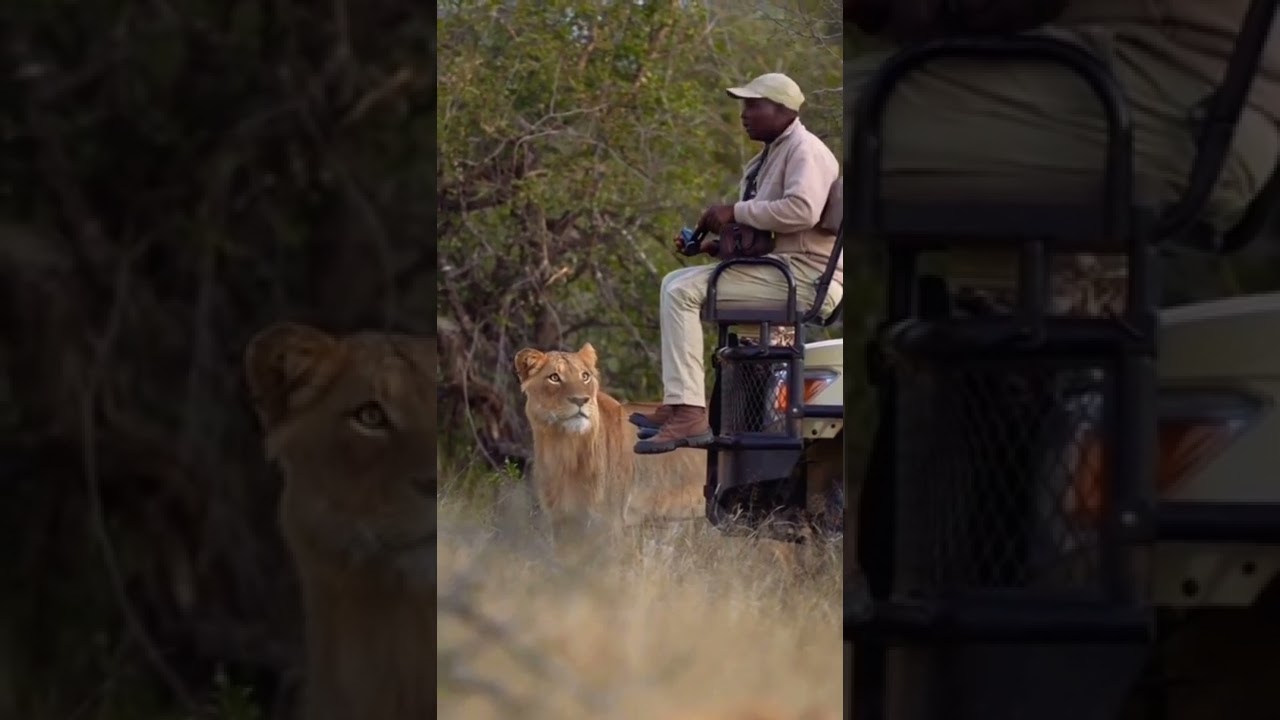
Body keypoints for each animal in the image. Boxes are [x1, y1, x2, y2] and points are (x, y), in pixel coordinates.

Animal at [514, 342, 706, 535]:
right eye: (554, 377)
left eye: (585, 376)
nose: (581, 400)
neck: (564, 447)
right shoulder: (561, 521)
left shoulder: (611, 522)